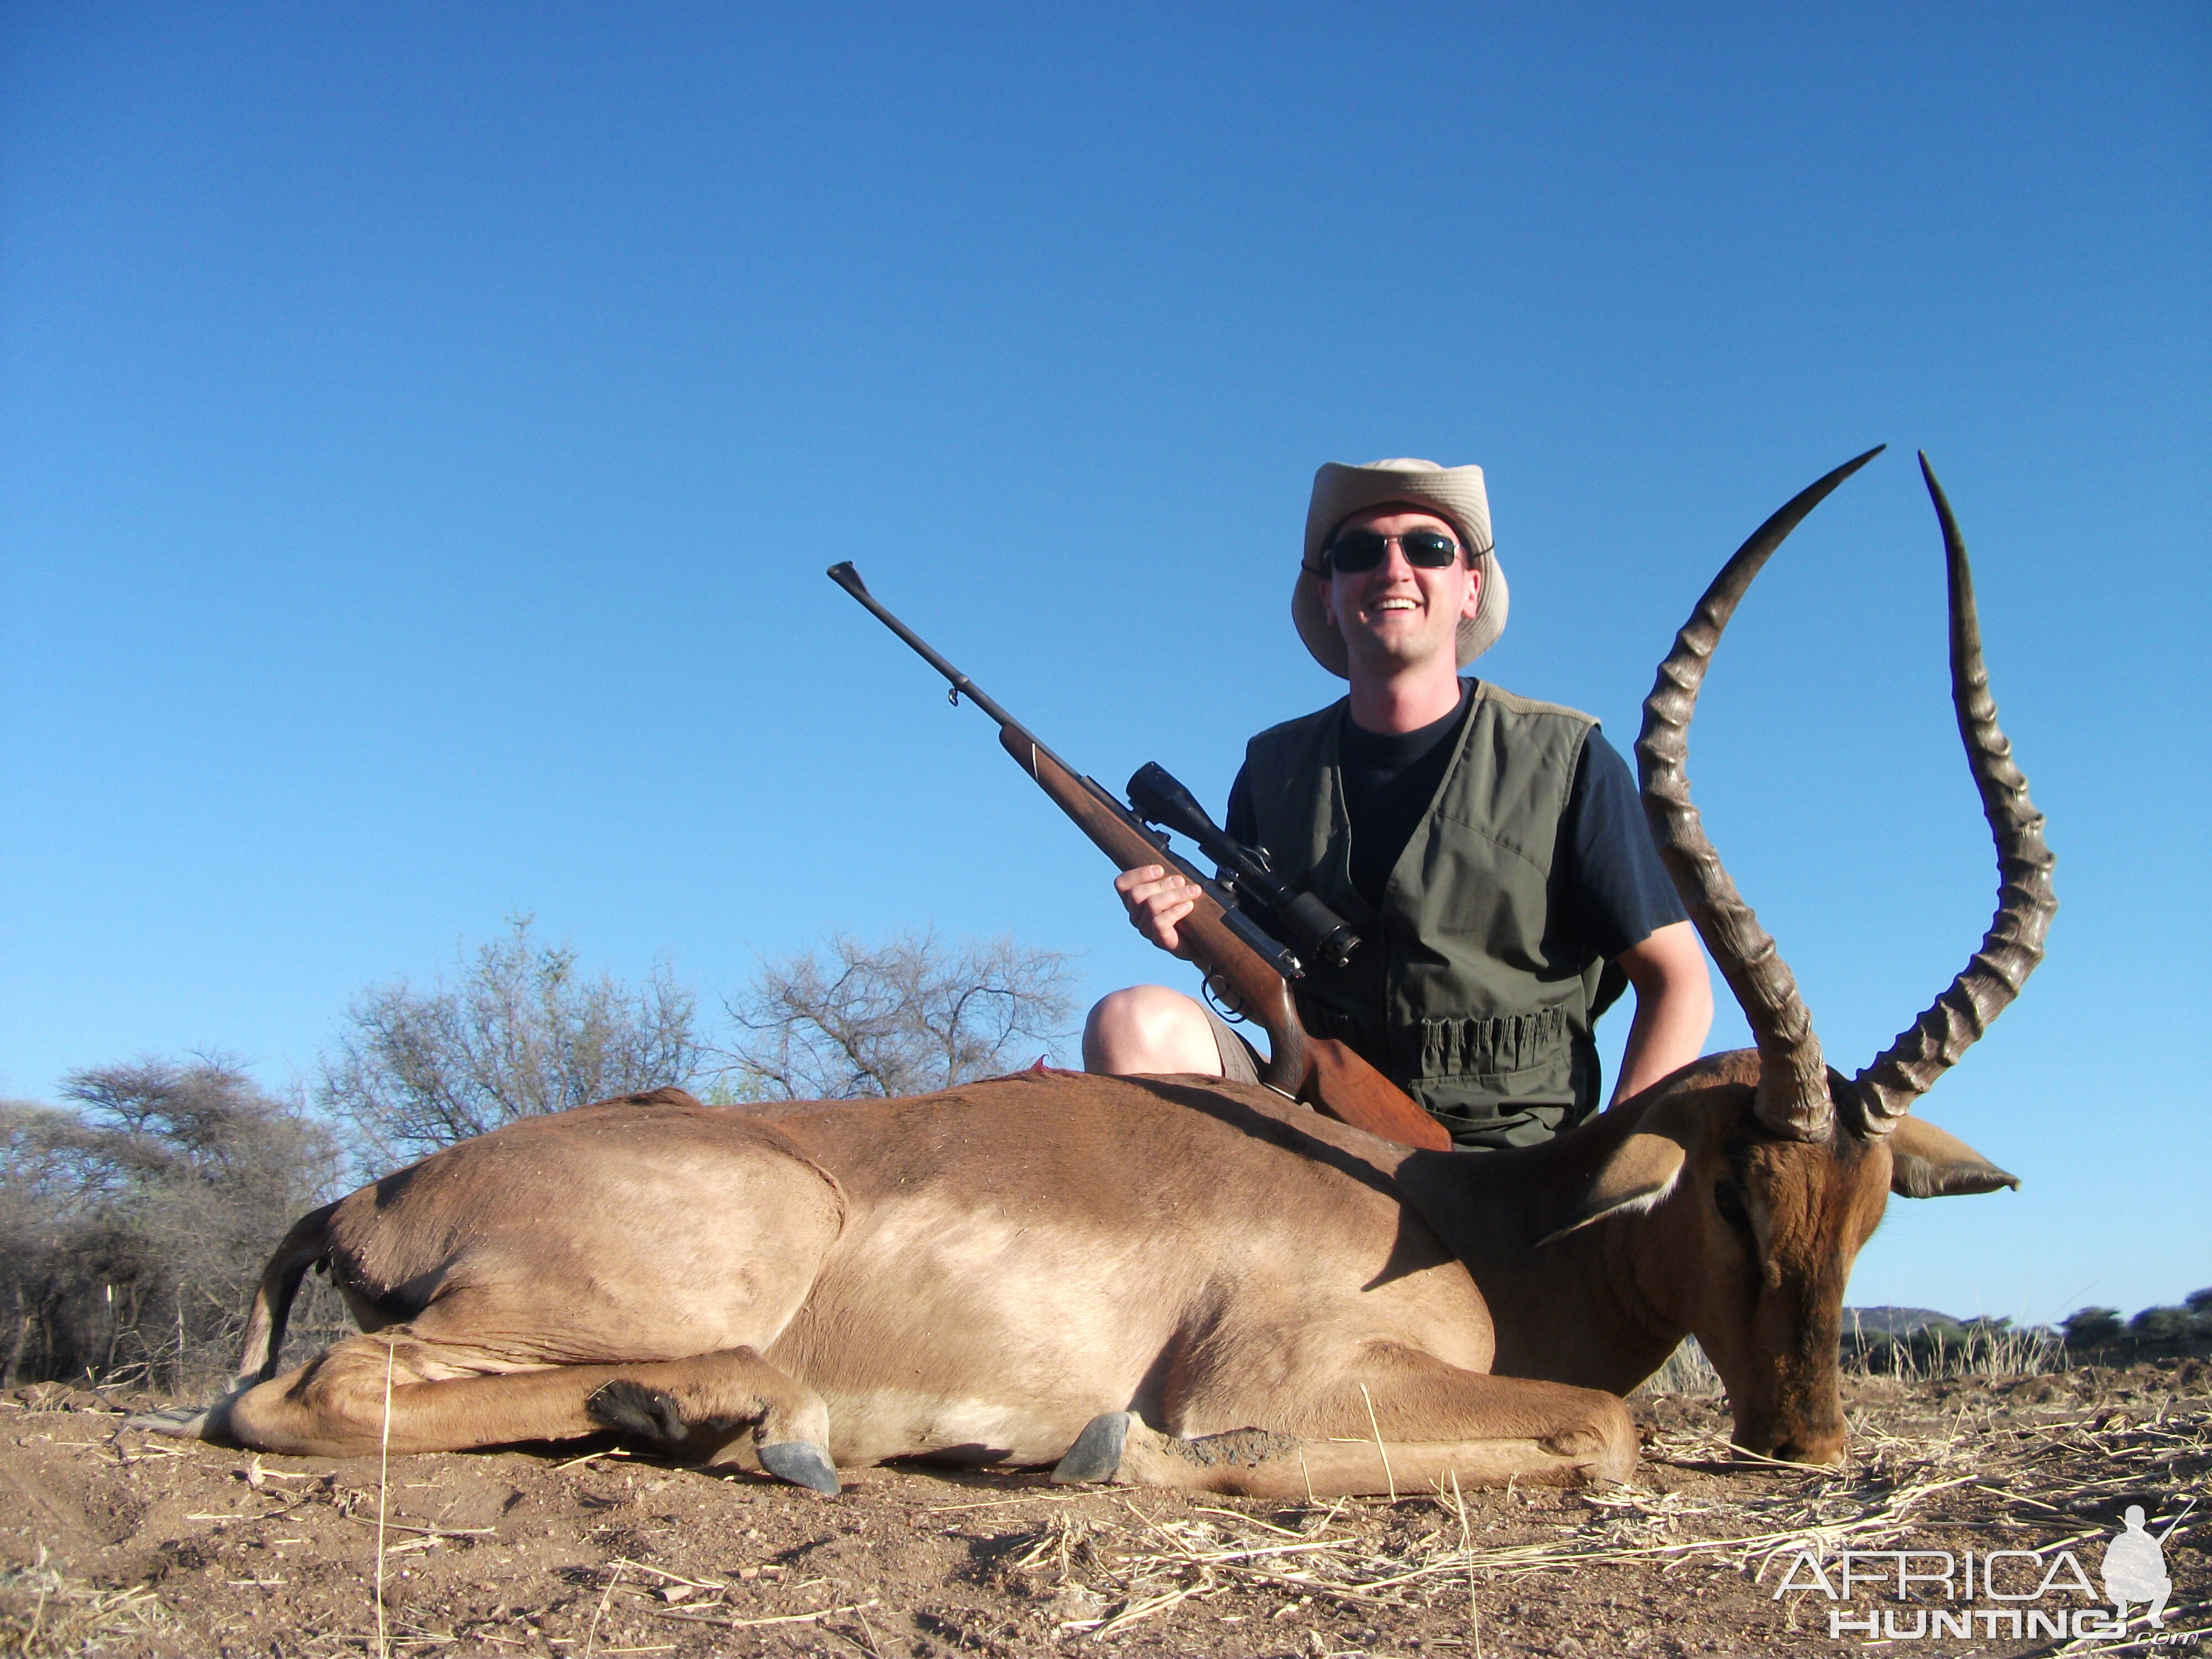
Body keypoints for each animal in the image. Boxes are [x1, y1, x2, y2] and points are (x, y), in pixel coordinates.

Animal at [129, 451, 2044, 1495]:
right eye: (1732, 1185)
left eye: (1874, 1205)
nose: (1810, 1443)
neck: (1491, 1230)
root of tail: (375, 1190)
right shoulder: (1275, 1372)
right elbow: (1599, 1432)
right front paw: (1127, 1457)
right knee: (299, 1394)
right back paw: (783, 1424)